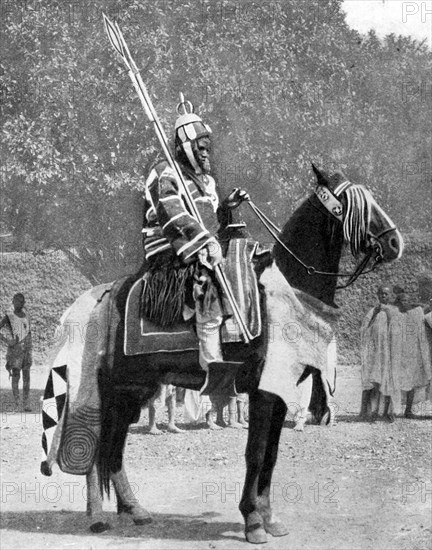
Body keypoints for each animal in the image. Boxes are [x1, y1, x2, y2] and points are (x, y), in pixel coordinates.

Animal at [41, 166, 404, 544]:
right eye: (353, 204)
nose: (395, 242)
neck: (286, 292)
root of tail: (105, 296)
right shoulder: (262, 392)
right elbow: (256, 454)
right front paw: (253, 521)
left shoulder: (279, 393)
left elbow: (271, 455)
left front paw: (269, 517)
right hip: (113, 389)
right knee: (98, 444)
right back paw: (98, 516)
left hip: (134, 391)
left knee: (114, 449)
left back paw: (134, 510)